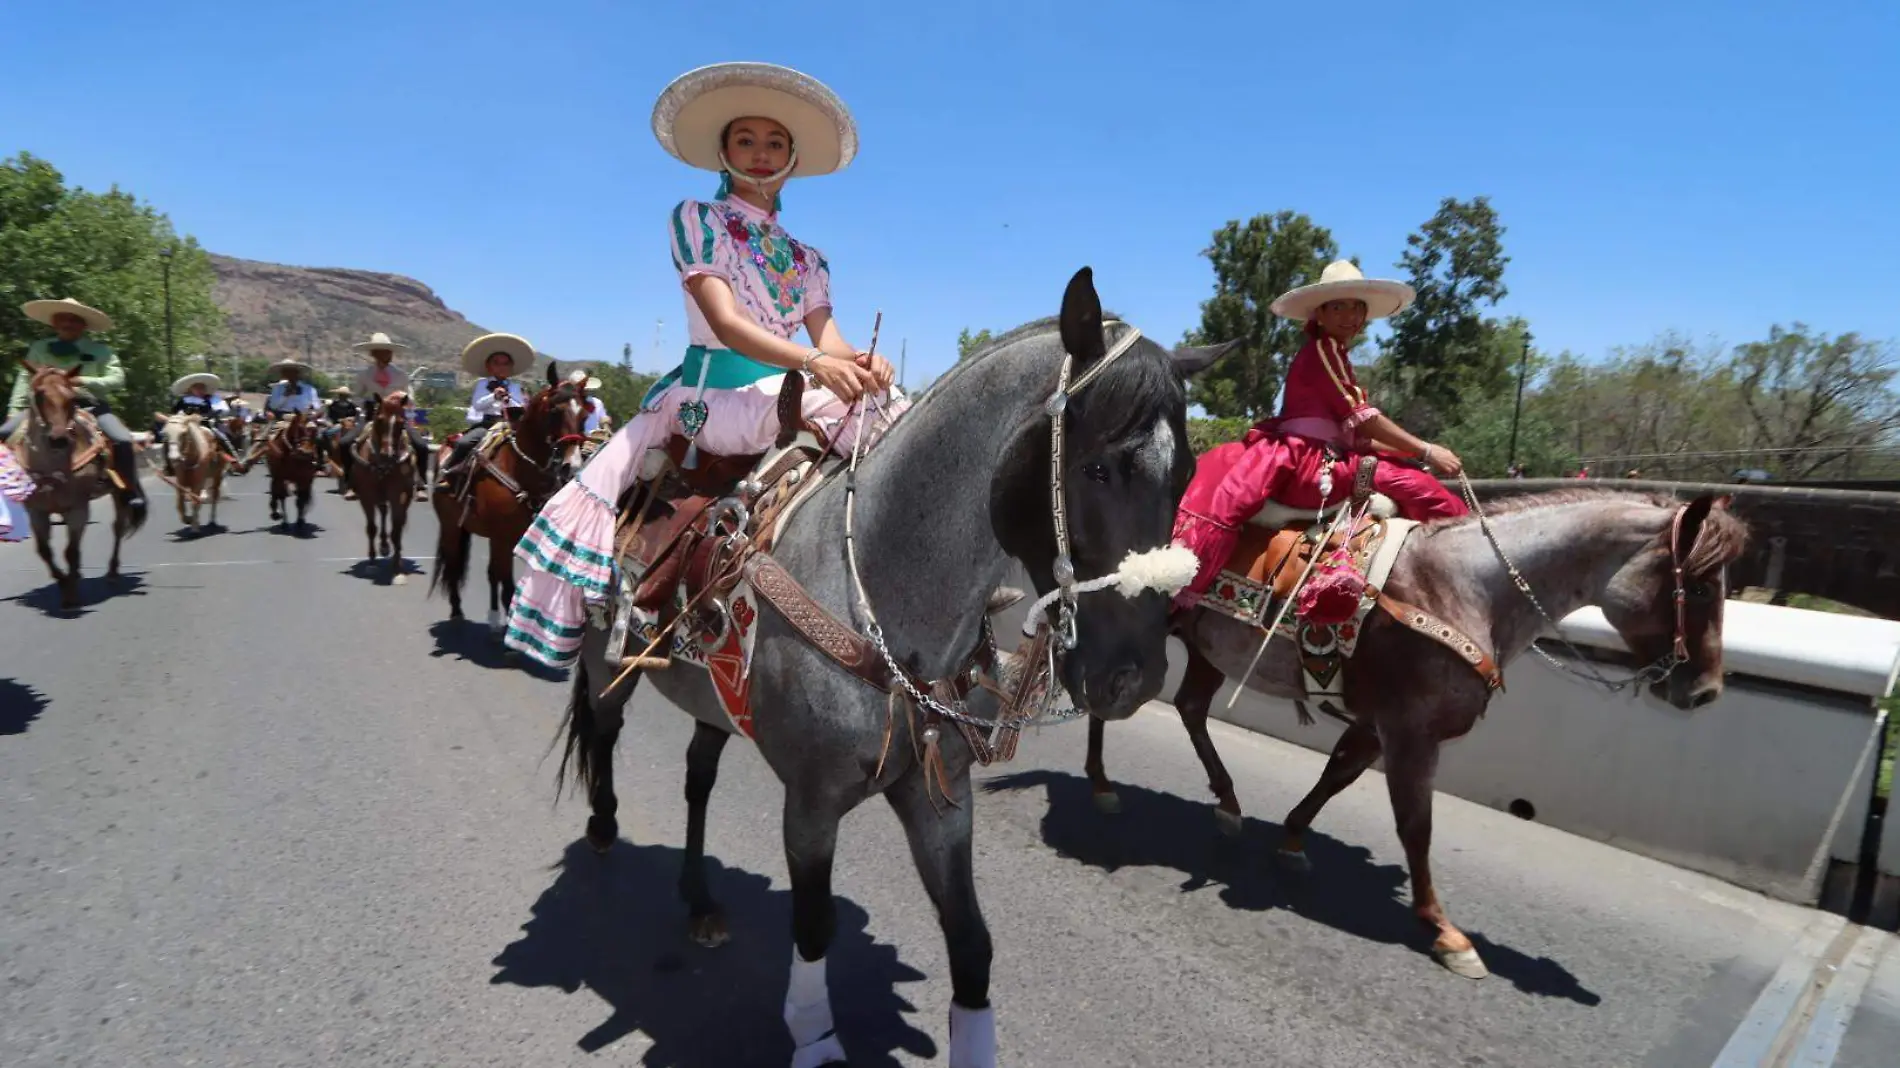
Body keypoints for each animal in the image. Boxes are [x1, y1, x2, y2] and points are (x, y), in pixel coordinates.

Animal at [7, 359, 142, 604]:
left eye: (71, 397)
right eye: (39, 394)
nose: (59, 439)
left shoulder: (78, 507)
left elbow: (70, 550)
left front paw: (70, 595)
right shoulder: (36, 511)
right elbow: (44, 550)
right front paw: (63, 581)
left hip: (119, 494)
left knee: (118, 527)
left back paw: (112, 572)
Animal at [353, 391, 423, 581]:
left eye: (401, 423)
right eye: (379, 420)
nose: (388, 455)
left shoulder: (399, 495)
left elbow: (396, 530)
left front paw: (397, 568)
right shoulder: (366, 495)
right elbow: (371, 528)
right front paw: (371, 563)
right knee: (383, 513)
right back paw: (383, 547)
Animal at [431, 361, 585, 634]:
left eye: (584, 414)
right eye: (554, 410)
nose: (572, 466)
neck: (519, 468)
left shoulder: (516, 535)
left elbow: (505, 579)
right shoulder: (502, 536)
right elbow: (507, 584)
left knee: (488, 572)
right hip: (451, 526)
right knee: (454, 563)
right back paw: (457, 610)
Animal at [554, 267, 1238, 1064]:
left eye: (1187, 475)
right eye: (1098, 468)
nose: (1134, 677)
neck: (881, 592)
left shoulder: (939, 797)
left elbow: (972, 945)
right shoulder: (811, 803)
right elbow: (814, 927)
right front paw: (815, 1034)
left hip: (713, 700)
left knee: (698, 777)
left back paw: (699, 902)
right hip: (608, 666)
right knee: (603, 729)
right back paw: (605, 829)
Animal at [1086, 486, 1748, 980]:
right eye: (1702, 585)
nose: (1706, 691)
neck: (1463, 588)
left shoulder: (1377, 725)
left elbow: (1336, 777)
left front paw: (1293, 840)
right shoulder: (1411, 732)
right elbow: (1417, 827)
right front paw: (1446, 931)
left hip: (1204, 651)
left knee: (1191, 708)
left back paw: (1225, 802)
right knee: (1105, 694)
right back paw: (1101, 785)